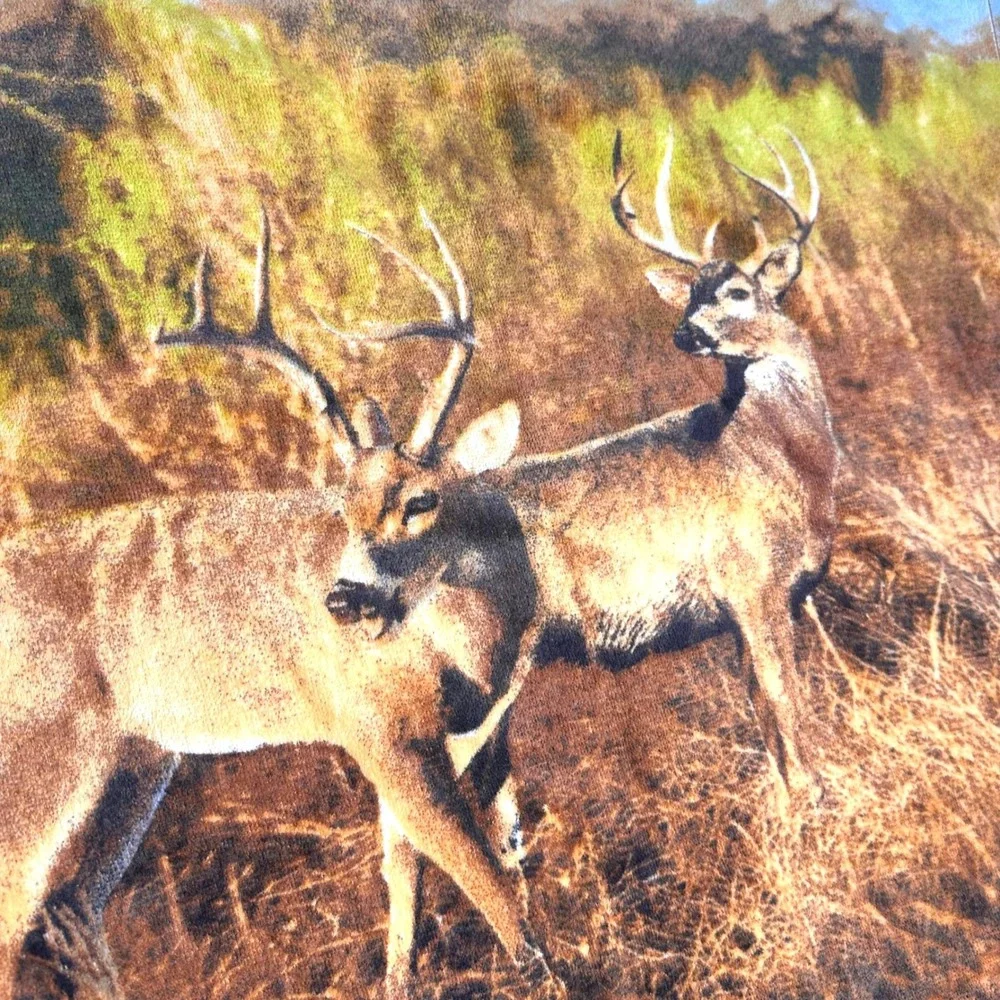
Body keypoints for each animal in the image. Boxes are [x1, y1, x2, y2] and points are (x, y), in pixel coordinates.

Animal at [0, 212, 563, 1000]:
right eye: (343, 504)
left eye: (422, 501)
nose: (341, 600)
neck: (472, 647)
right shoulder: (371, 729)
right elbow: (487, 888)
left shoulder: (482, 726)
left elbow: (417, 879)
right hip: (38, 755)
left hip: (137, 762)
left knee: (74, 908)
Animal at [321, 127, 837, 816]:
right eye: (692, 294)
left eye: (737, 292)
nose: (685, 333)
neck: (780, 456)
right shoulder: (753, 585)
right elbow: (791, 712)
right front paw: (820, 814)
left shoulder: (755, 605)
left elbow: (769, 723)